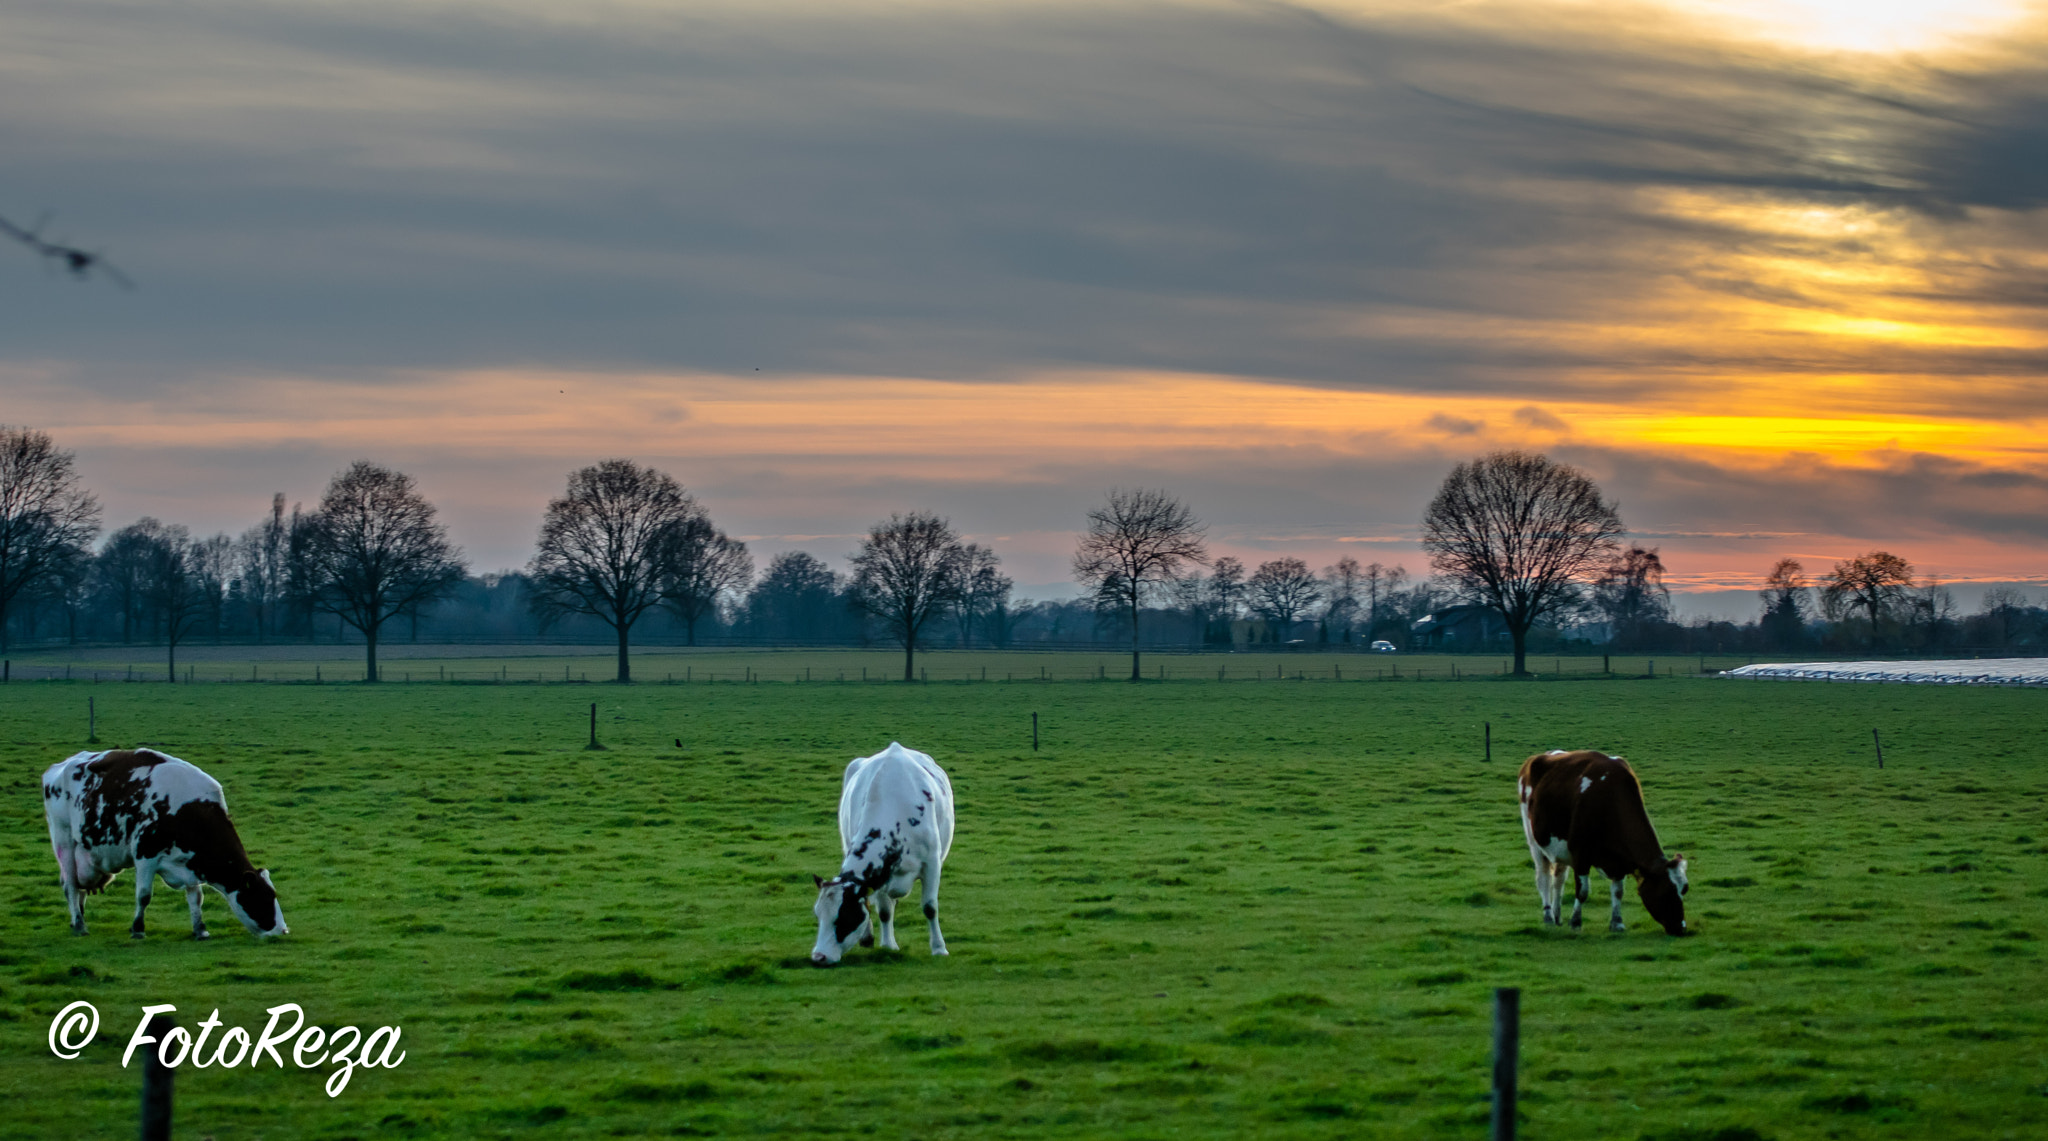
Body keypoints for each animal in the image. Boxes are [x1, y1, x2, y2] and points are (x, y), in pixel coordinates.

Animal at [42, 748, 287, 940]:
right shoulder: (145, 854)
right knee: (70, 886)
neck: (188, 811)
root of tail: (58, 767)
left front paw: (200, 930)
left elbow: (196, 897)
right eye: (263, 897)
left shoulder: (189, 860)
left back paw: (77, 919)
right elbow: (143, 895)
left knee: (79, 888)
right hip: (64, 840)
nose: (283, 930)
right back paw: (80, 924)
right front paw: (138, 929)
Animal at [810, 742, 954, 966]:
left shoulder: (932, 864)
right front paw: (888, 945)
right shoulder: (880, 875)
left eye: (845, 916)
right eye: (818, 915)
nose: (818, 956)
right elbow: (884, 911)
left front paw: (939, 948)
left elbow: (930, 907)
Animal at [1517, 749, 1688, 936]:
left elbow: (1618, 891)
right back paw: (1548, 917)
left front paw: (1617, 923)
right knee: (1543, 878)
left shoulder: (1619, 859)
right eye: (1666, 891)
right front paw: (1575, 922)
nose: (1681, 927)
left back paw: (1557, 916)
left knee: (1558, 880)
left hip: (1559, 847)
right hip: (1534, 841)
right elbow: (1582, 891)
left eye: (1684, 889)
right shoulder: (1580, 853)